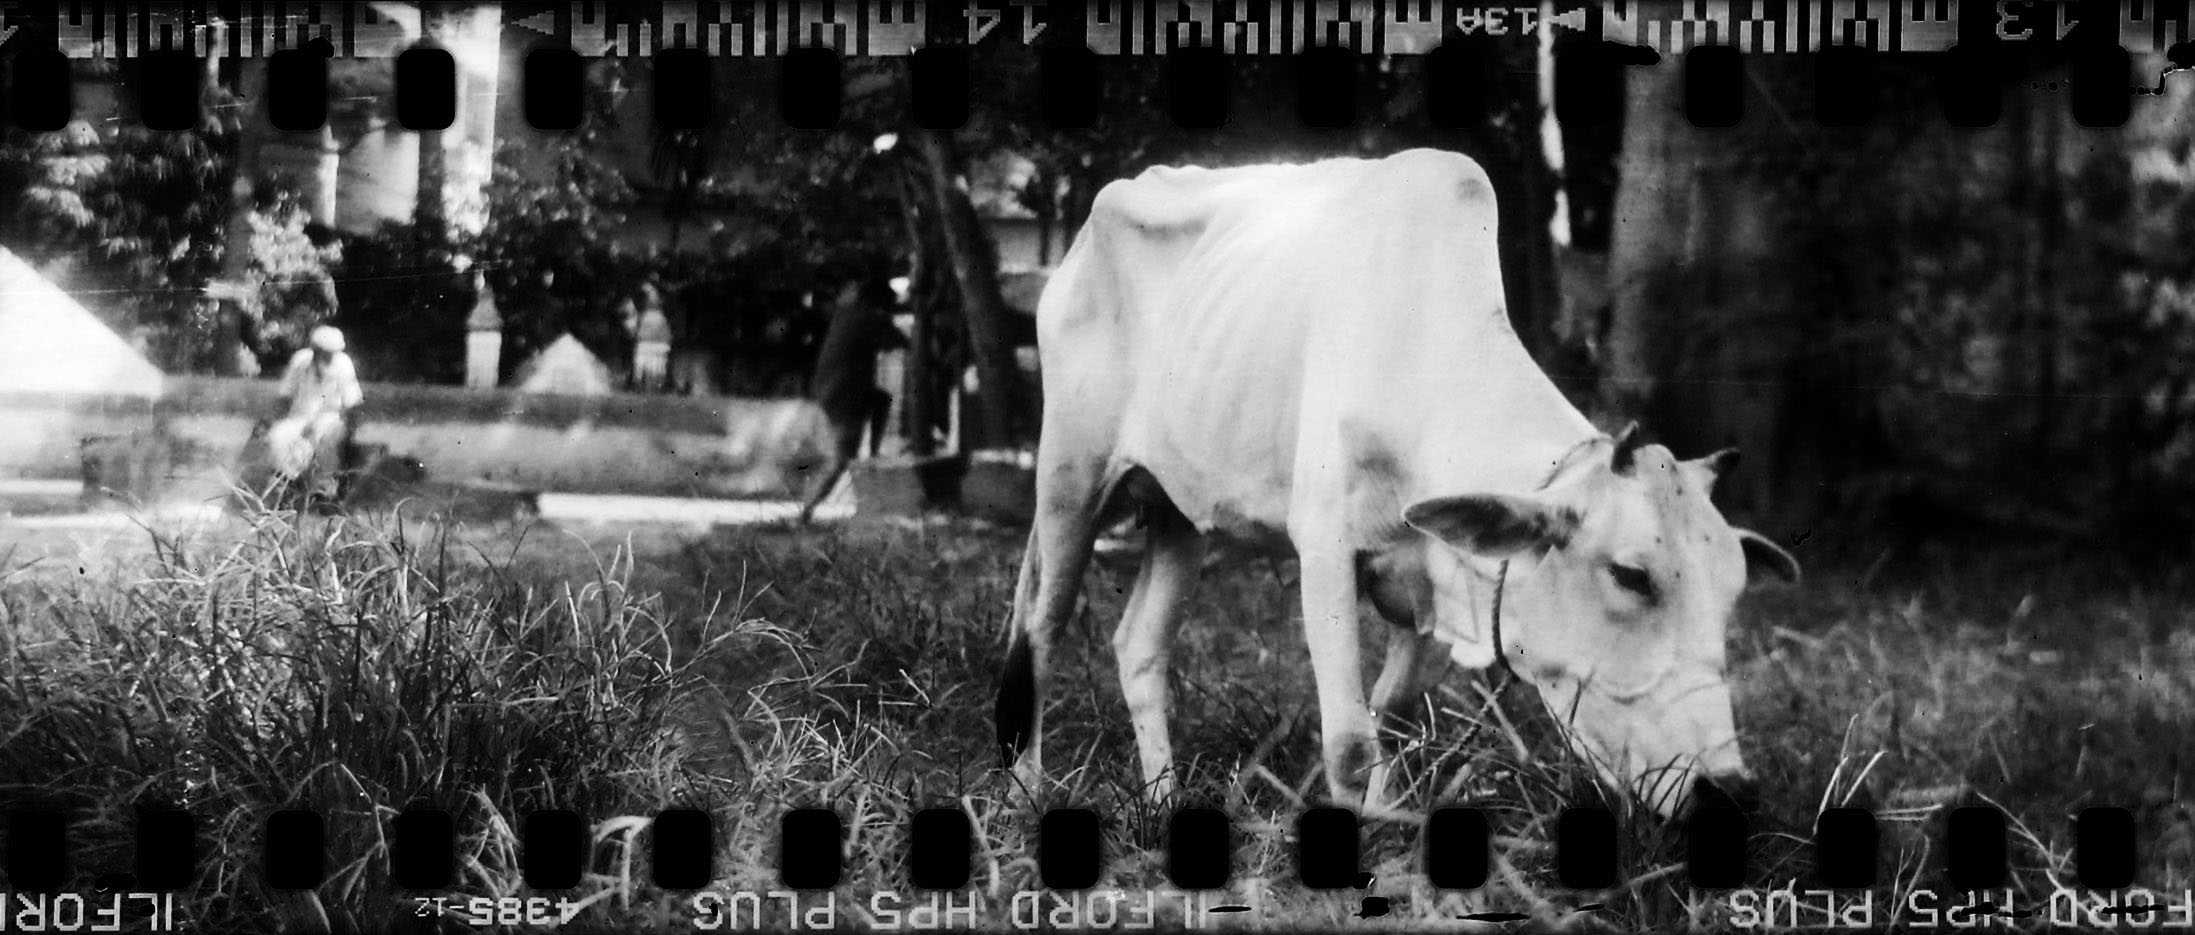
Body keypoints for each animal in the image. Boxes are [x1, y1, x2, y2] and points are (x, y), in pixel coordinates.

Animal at [996, 148, 1799, 816]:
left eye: (1733, 593)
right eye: (1630, 575)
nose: (1727, 791)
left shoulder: (1433, 582)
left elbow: (1394, 713)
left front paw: (1389, 820)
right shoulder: (1324, 550)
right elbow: (1350, 740)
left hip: (1179, 513)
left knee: (1139, 647)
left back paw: (1161, 798)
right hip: (1070, 474)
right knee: (1039, 630)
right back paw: (1022, 792)